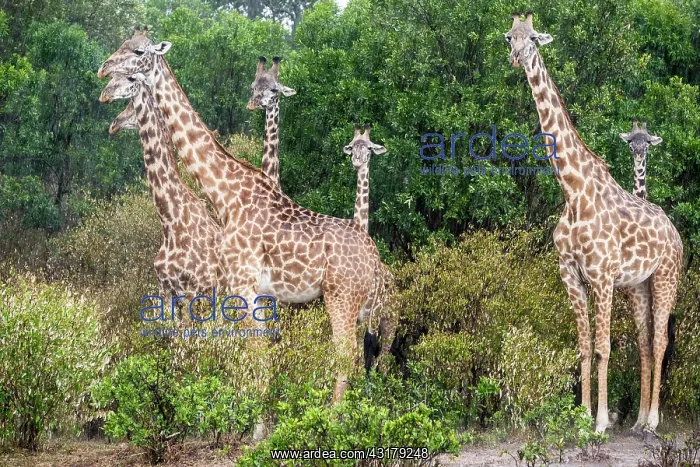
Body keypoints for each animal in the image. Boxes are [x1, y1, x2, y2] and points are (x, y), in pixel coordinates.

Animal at [505, 12, 683, 432]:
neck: (572, 191)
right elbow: (584, 347)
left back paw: (653, 421)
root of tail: (675, 232)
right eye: (509, 36)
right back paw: (637, 420)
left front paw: (601, 421)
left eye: (533, 38)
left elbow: (603, 348)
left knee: (660, 341)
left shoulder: (601, 275)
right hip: (639, 286)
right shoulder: (570, 272)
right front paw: (581, 416)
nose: (517, 57)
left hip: (667, 276)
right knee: (644, 342)